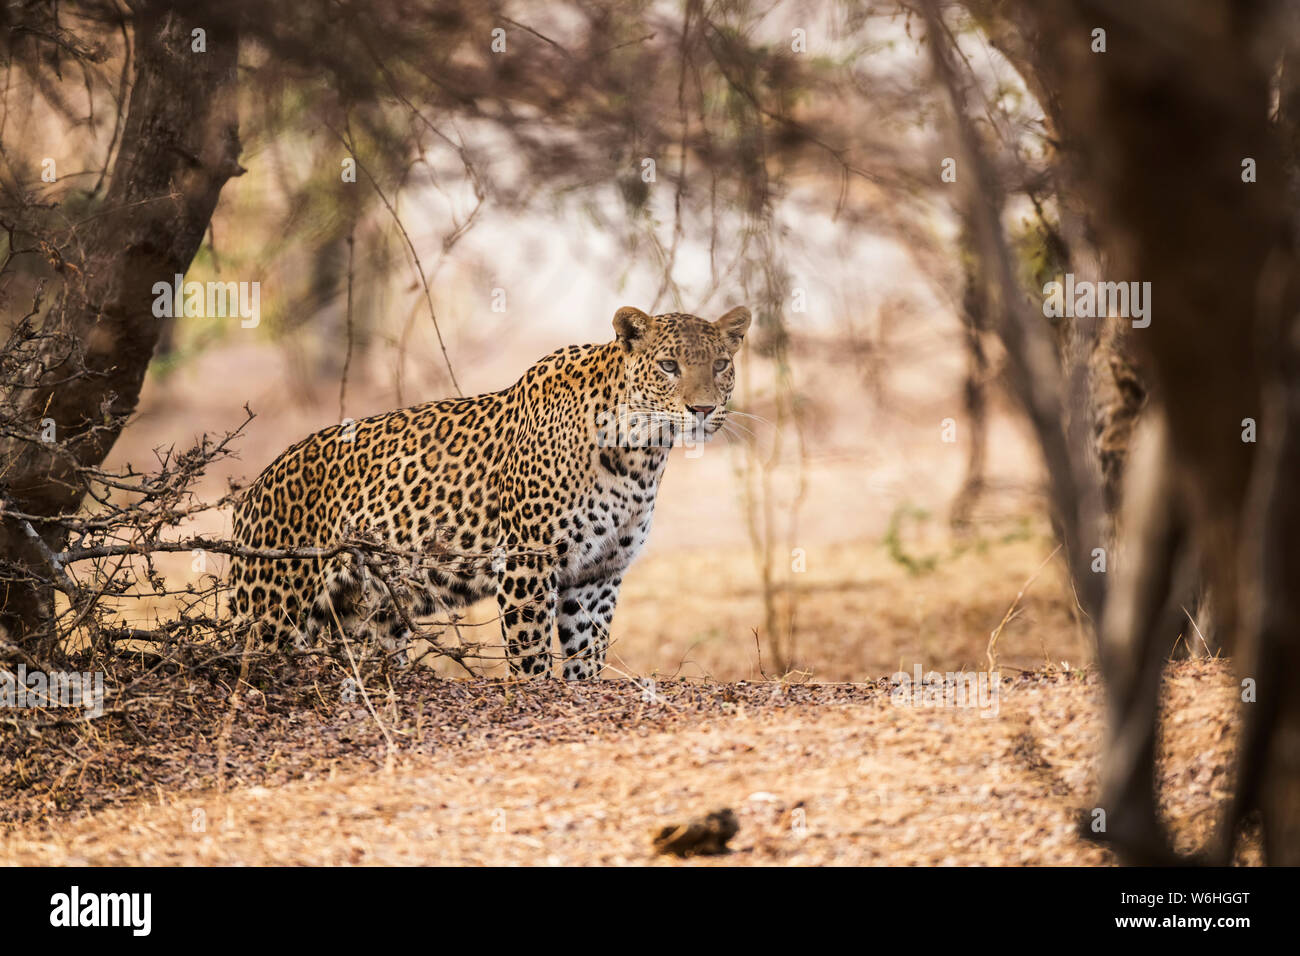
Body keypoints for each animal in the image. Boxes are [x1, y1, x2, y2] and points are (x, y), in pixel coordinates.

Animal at [228, 306, 748, 681]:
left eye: (721, 364)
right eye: (668, 366)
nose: (703, 410)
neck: (639, 455)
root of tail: (253, 489)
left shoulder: (599, 573)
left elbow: (588, 651)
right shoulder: (528, 559)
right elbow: (530, 649)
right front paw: (533, 689)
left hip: (371, 614)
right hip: (274, 610)